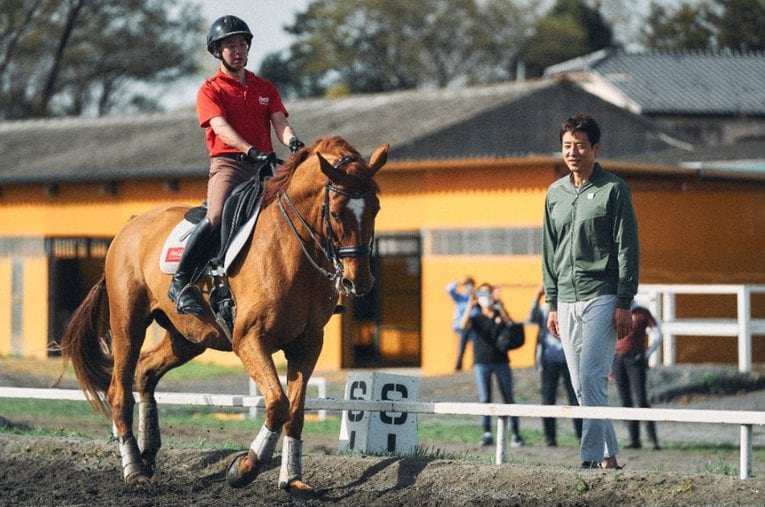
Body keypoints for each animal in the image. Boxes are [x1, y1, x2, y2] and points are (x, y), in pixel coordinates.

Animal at [58, 136, 389, 491]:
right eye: (338, 213)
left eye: (375, 209)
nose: (359, 282)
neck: (292, 248)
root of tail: (130, 224)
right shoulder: (249, 340)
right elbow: (278, 403)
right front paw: (244, 468)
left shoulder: (308, 343)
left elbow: (296, 412)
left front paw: (293, 479)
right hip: (128, 324)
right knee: (119, 390)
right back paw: (134, 469)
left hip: (187, 338)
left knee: (145, 372)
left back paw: (148, 453)